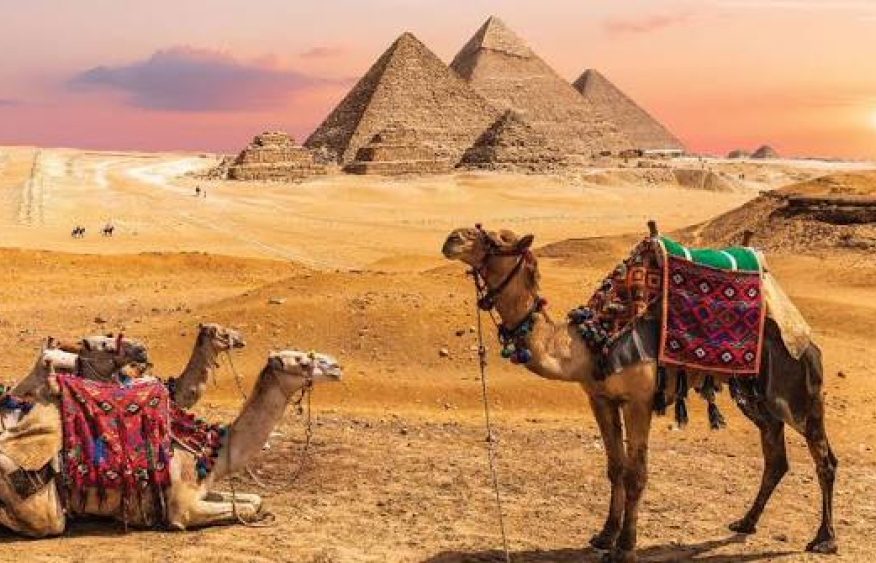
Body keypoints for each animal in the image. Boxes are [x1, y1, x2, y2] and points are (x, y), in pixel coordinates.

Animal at [0, 349, 341, 536]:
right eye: (300, 360)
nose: (337, 366)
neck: (214, 451)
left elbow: (254, 500)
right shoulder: (183, 507)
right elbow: (234, 508)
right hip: (40, 505)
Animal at [442, 226, 837, 563]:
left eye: (496, 240)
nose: (451, 239)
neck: (590, 342)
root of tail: (805, 333)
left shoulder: (639, 401)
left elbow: (636, 474)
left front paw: (625, 547)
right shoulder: (600, 399)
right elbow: (615, 467)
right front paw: (605, 535)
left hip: (799, 389)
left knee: (823, 457)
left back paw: (824, 539)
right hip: (757, 396)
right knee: (775, 456)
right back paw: (746, 522)